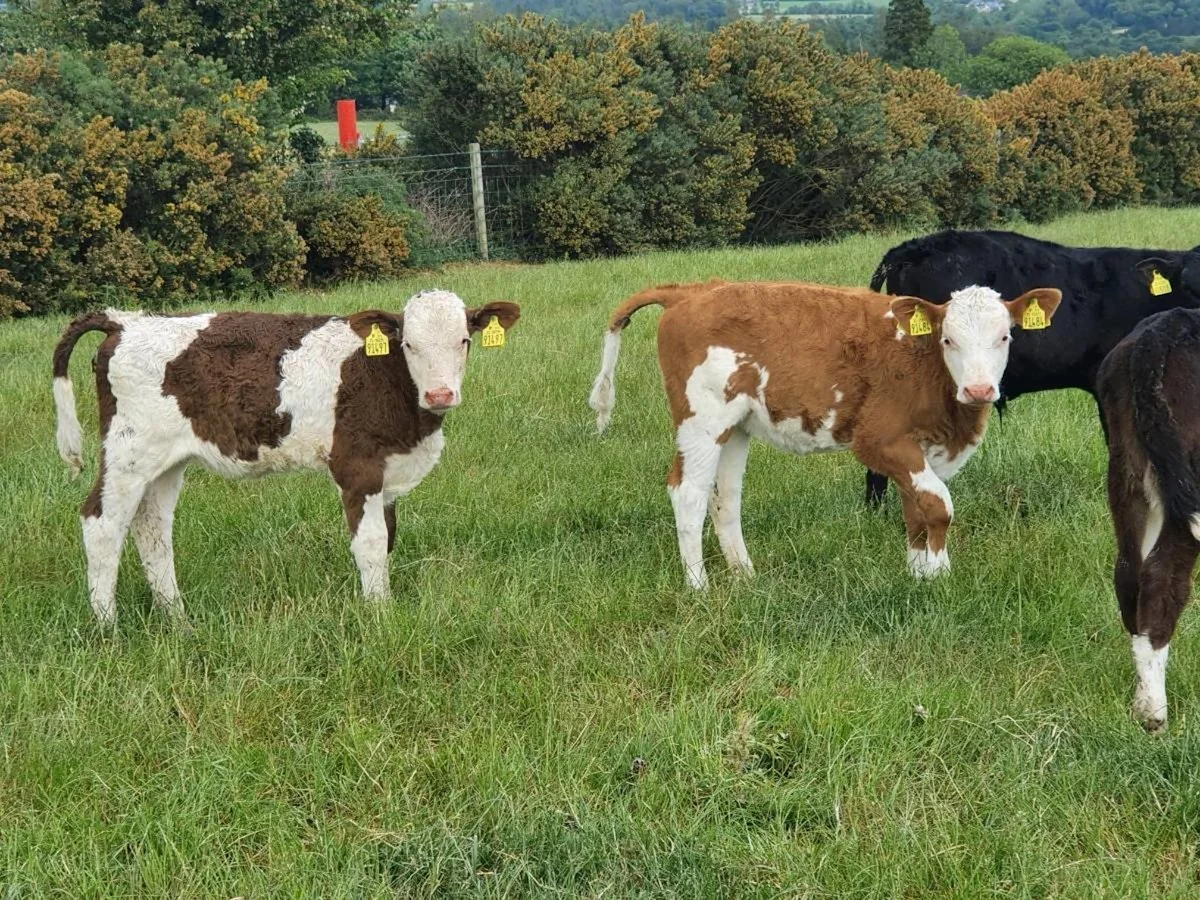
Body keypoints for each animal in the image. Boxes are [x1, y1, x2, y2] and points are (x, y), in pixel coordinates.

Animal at [52, 290, 521, 629]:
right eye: (409, 343)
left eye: (464, 340)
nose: (440, 394)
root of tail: (126, 320)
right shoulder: (357, 466)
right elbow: (370, 544)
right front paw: (380, 616)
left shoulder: (389, 470)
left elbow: (387, 539)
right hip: (128, 453)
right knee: (102, 524)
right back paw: (108, 627)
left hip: (166, 462)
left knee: (152, 529)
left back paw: (178, 620)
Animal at [587, 279, 1061, 588]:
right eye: (948, 340)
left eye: (1005, 336)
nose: (979, 389)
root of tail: (690, 291)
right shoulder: (879, 439)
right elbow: (938, 505)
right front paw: (939, 576)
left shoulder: (919, 447)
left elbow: (916, 508)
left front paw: (917, 575)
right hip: (701, 419)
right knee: (688, 491)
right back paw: (698, 586)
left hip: (735, 426)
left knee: (725, 496)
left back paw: (745, 575)